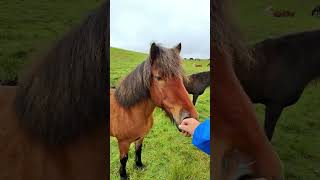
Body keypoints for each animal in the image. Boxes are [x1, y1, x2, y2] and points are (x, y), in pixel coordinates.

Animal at [111, 43, 199, 179]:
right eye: (159, 77)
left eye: (181, 77)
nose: (190, 118)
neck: (129, 112)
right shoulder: (123, 142)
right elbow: (123, 159)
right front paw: (123, 175)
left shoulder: (141, 136)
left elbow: (138, 150)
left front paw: (139, 165)